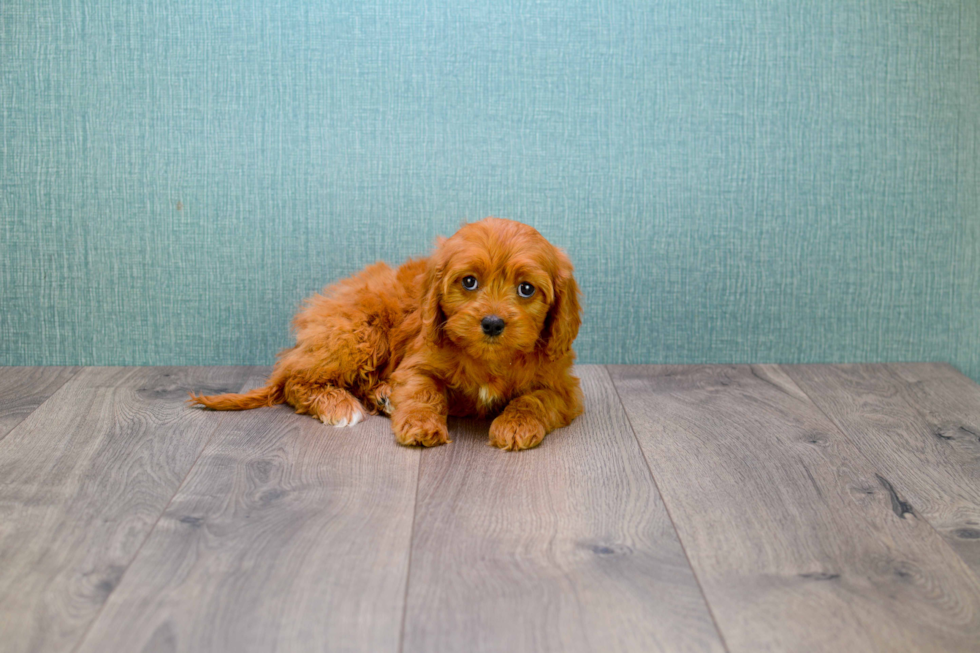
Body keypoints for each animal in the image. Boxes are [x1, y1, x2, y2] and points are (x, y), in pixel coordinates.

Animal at [195, 216, 584, 450]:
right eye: (469, 281)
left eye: (526, 289)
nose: (491, 323)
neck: (489, 359)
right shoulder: (418, 363)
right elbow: (423, 392)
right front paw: (420, 425)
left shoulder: (561, 387)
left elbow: (532, 400)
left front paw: (515, 425)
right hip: (358, 335)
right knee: (296, 380)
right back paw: (340, 405)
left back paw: (383, 395)